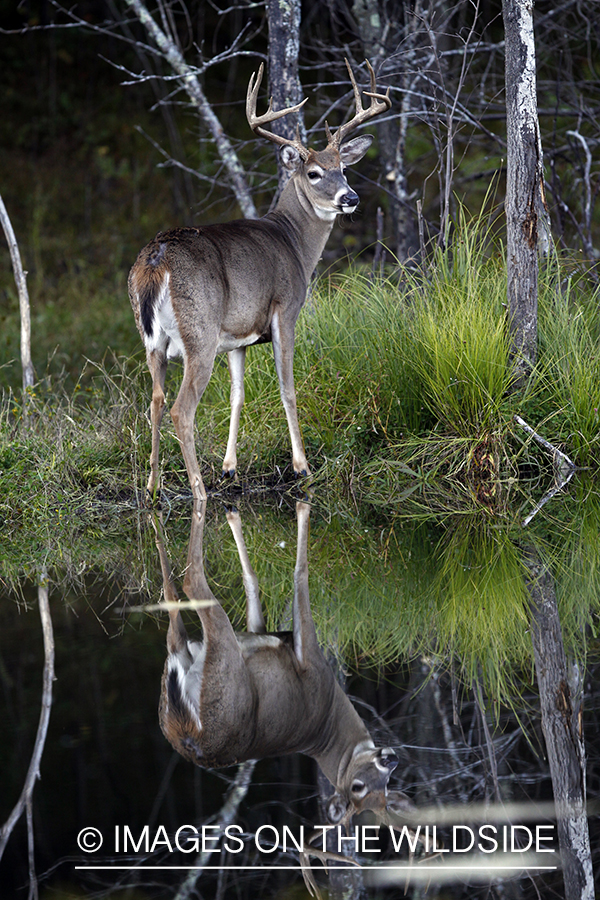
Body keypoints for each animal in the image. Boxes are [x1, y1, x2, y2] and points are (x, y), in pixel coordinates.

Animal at [129, 59, 392, 502]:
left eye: (343, 168)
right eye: (315, 172)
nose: (351, 198)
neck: (293, 242)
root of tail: (156, 259)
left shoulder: (237, 336)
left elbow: (238, 396)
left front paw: (230, 468)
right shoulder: (285, 310)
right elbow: (288, 388)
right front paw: (302, 466)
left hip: (154, 340)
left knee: (155, 401)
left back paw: (152, 487)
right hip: (199, 332)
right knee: (183, 409)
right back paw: (198, 490)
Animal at [152, 496, 412, 896]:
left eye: (384, 788)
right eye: (359, 787)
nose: (391, 758)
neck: (330, 714)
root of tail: (189, 734)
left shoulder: (280, 641)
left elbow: (266, 582)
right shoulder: (310, 657)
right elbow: (292, 579)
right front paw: (299, 510)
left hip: (192, 664)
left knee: (178, 595)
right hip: (216, 658)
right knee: (188, 582)